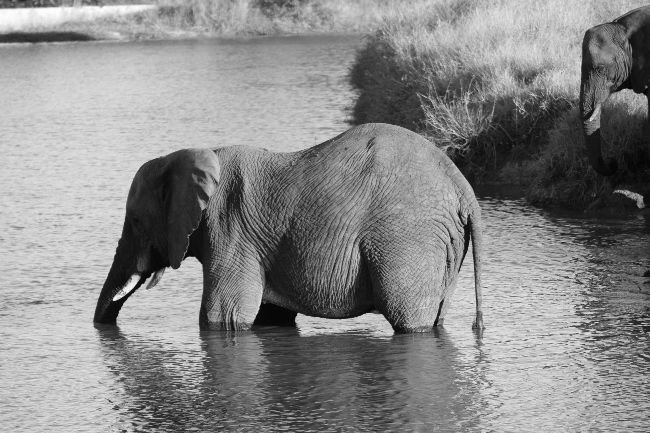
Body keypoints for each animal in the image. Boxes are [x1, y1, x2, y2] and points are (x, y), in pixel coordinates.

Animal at [93, 123, 484, 332]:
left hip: (408, 237)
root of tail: (461, 185)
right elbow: (269, 316)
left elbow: (222, 316)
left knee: (409, 318)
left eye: (136, 222)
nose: (104, 329)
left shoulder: (230, 227)